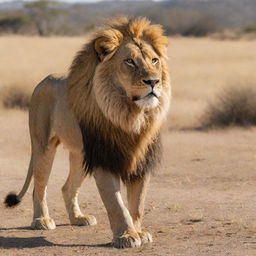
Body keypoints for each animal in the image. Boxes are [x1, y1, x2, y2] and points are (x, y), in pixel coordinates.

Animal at [4, 16, 171, 248]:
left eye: (154, 60)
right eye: (129, 61)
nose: (153, 81)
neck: (131, 115)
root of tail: (44, 79)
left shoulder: (141, 161)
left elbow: (137, 205)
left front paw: (139, 232)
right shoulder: (103, 158)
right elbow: (116, 203)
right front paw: (126, 236)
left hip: (81, 155)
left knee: (67, 187)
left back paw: (78, 218)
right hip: (43, 147)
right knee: (39, 187)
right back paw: (41, 220)